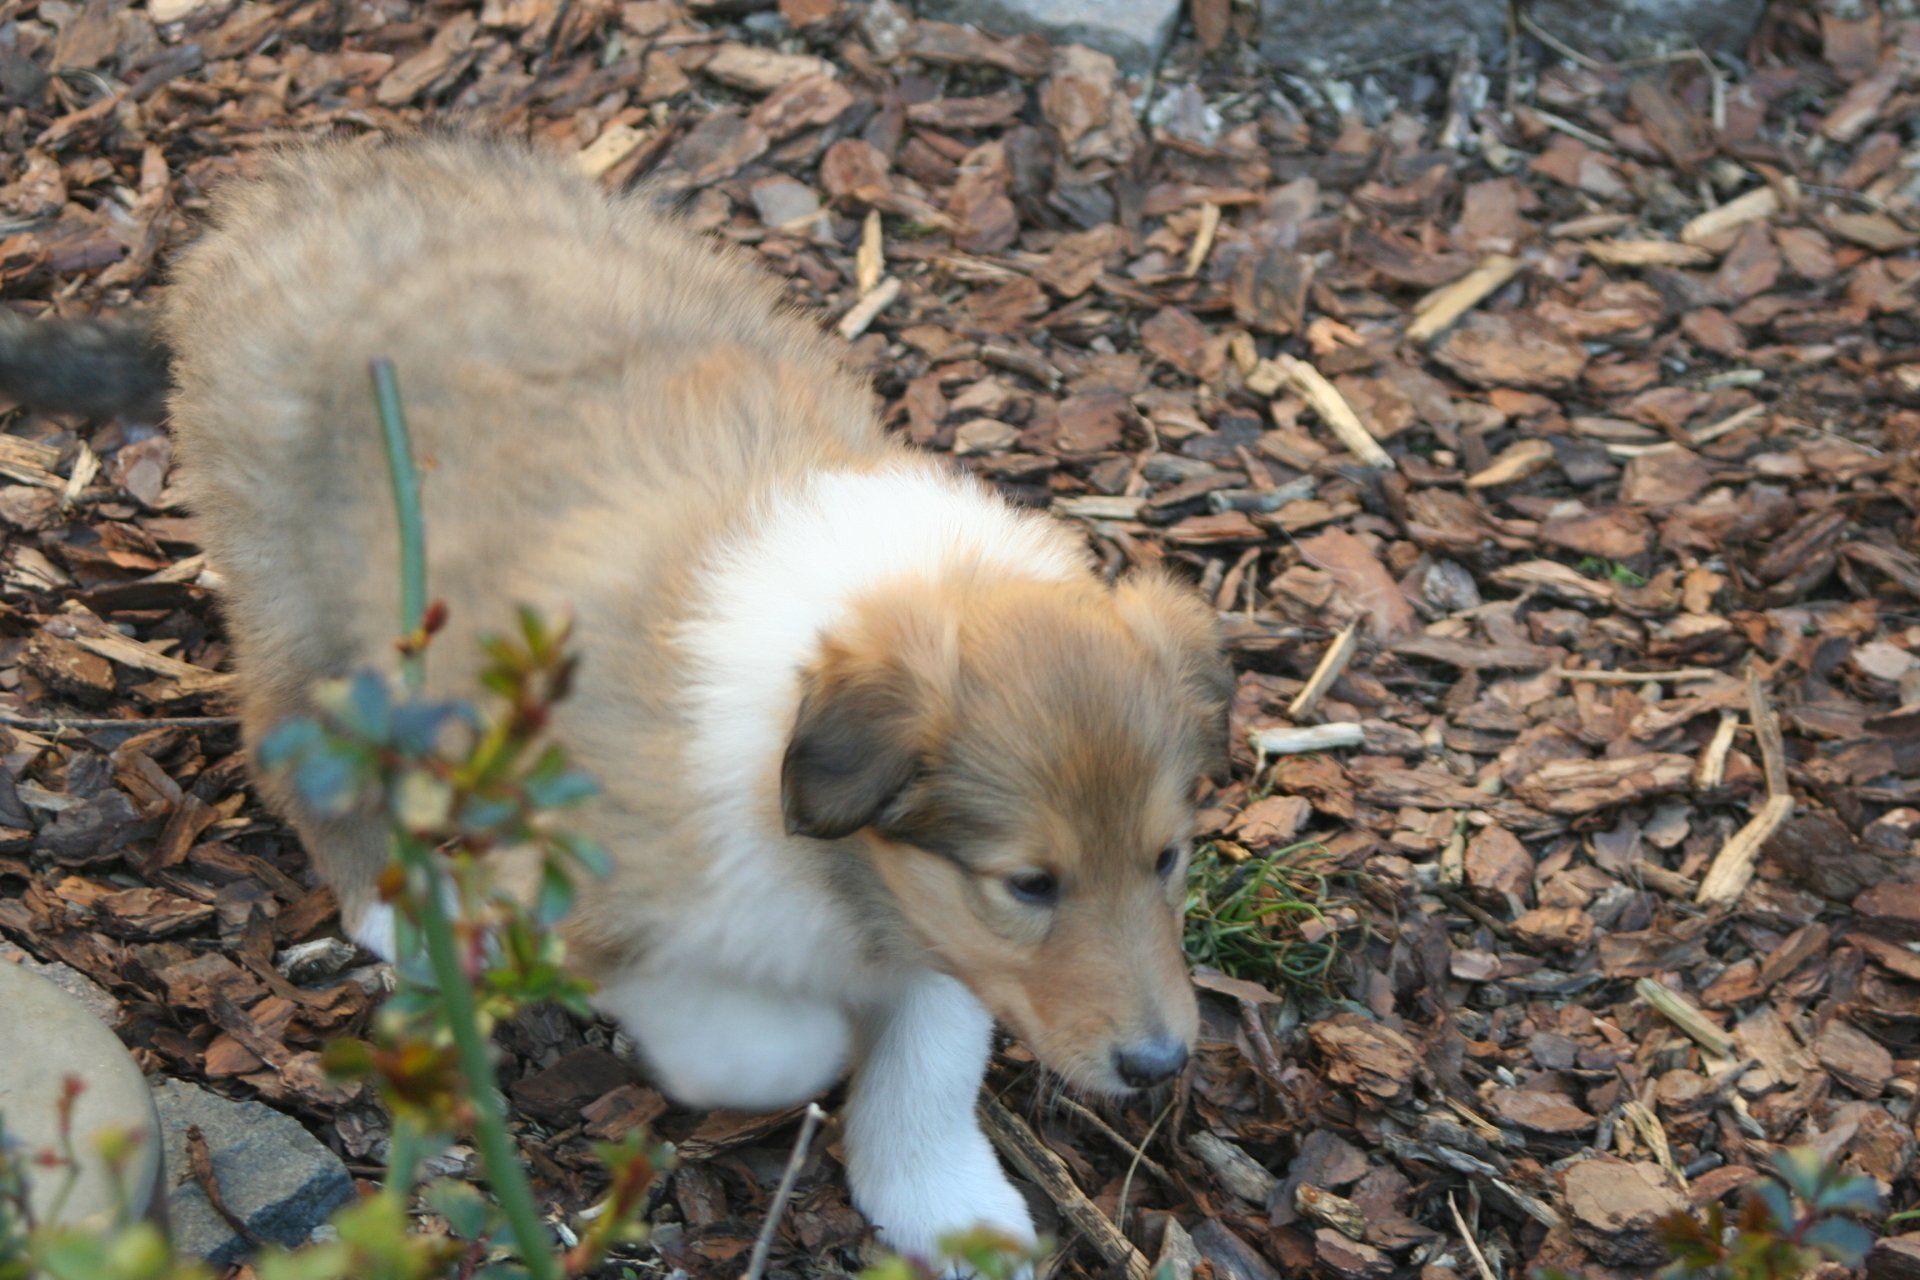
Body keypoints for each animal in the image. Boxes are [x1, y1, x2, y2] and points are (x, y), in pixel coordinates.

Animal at [4, 134, 1230, 1270]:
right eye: (1032, 883)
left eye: (1166, 858)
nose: (1161, 1065)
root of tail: (265, 206)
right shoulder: (587, 880)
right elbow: (764, 1034)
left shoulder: (934, 923)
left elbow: (930, 1055)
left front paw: (945, 1207)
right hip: (311, 609)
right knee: (294, 752)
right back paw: (400, 910)